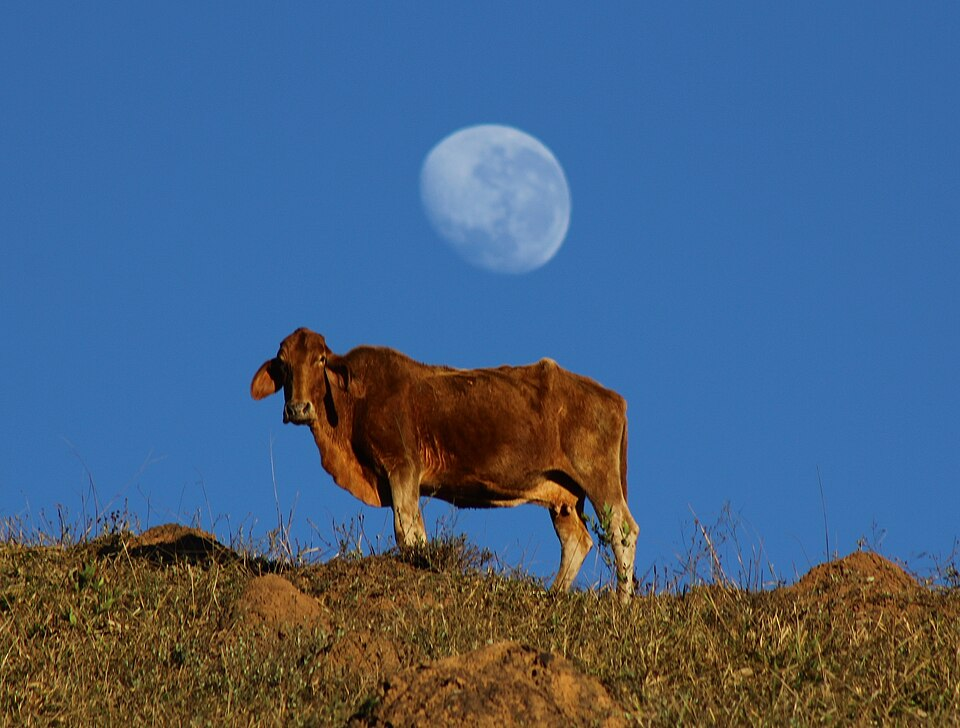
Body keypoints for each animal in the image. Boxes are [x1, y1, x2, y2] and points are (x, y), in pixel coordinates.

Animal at [251, 328, 639, 601]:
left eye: (319, 360)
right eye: (283, 363)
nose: (298, 408)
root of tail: (612, 397)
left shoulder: (403, 466)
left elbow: (408, 531)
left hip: (598, 477)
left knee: (623, 531)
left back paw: (621, 603)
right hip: (563, 495)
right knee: (577, 540)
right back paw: (553, 595)